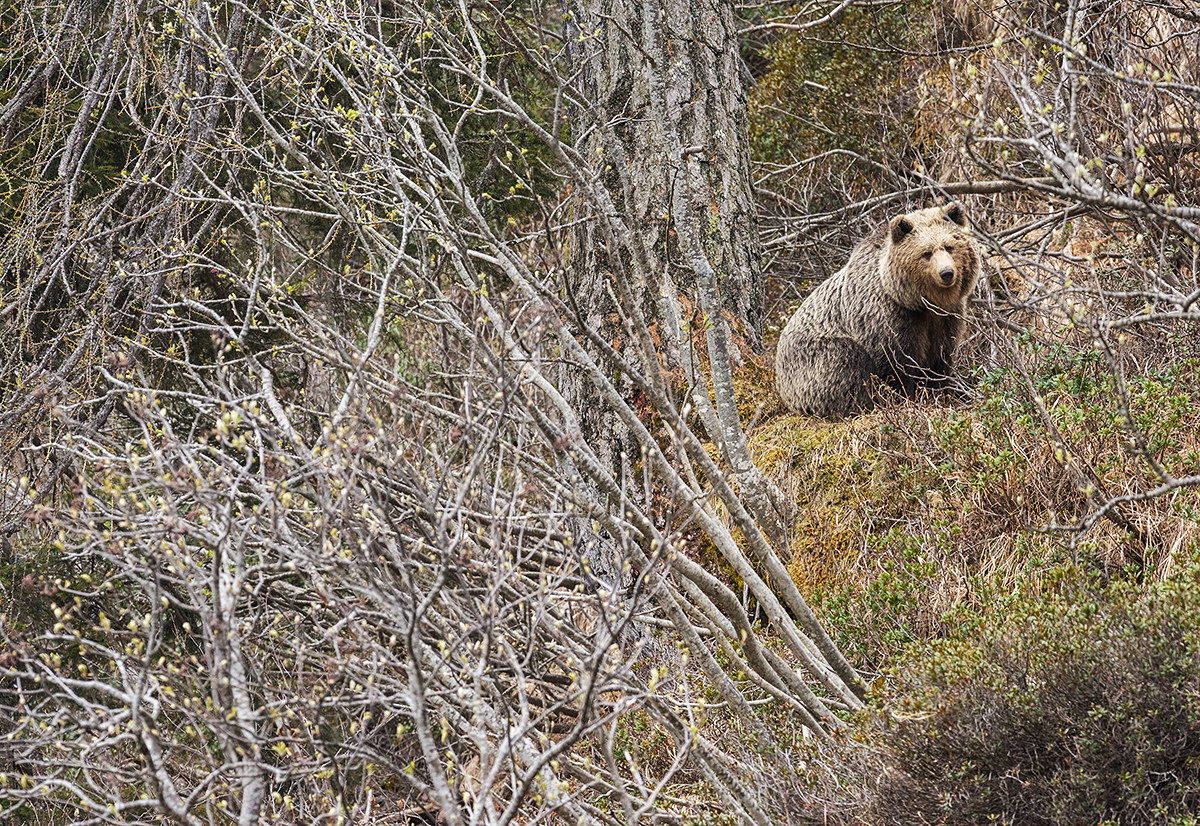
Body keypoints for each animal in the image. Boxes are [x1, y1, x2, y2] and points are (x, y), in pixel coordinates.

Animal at [775, 202, 980, 418]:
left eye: (949, 246)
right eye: (926, 253)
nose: (946, 273)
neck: (923, 303)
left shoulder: (947, 317)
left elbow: (941, 358)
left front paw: (939, 395)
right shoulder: (889, 317)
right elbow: (895, 363)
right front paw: (904, 398)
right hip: (811, 358)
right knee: (846, 360)